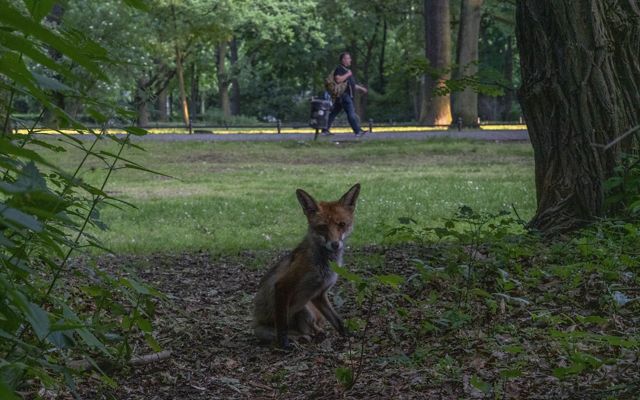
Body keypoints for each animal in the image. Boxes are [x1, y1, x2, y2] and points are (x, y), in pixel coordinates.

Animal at [253, 183, 361, 349]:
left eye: (342, 225)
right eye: (322, 227)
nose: (335, 244)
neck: (323, 266)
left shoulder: (319, 294)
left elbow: (338, 321)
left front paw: (348, 337)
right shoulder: (282, 286)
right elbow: (282, 326)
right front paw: (284, 345)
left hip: (306, 309)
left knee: (312, 329)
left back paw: (314, 335)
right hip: (262, 329)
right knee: (293, 333)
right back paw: (296, 339)